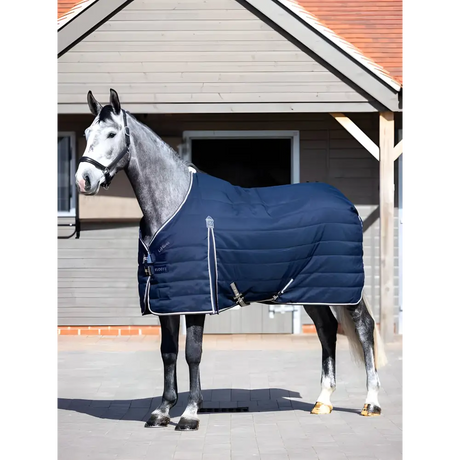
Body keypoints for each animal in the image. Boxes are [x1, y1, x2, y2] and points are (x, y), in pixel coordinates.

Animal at [76, 89, 388, 432]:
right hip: (313, 290)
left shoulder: (196, 300)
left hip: (343, 289)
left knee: (364, 327)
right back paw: (323, 401)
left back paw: (371, 402)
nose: (83, 180)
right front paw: (162, 411)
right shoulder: (165, 300)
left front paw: (189, 414)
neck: (173, 205)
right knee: (327, 329)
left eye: (111, 134)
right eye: (86, 134)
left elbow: (192, 353)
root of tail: (346, 203)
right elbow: (168, 353)